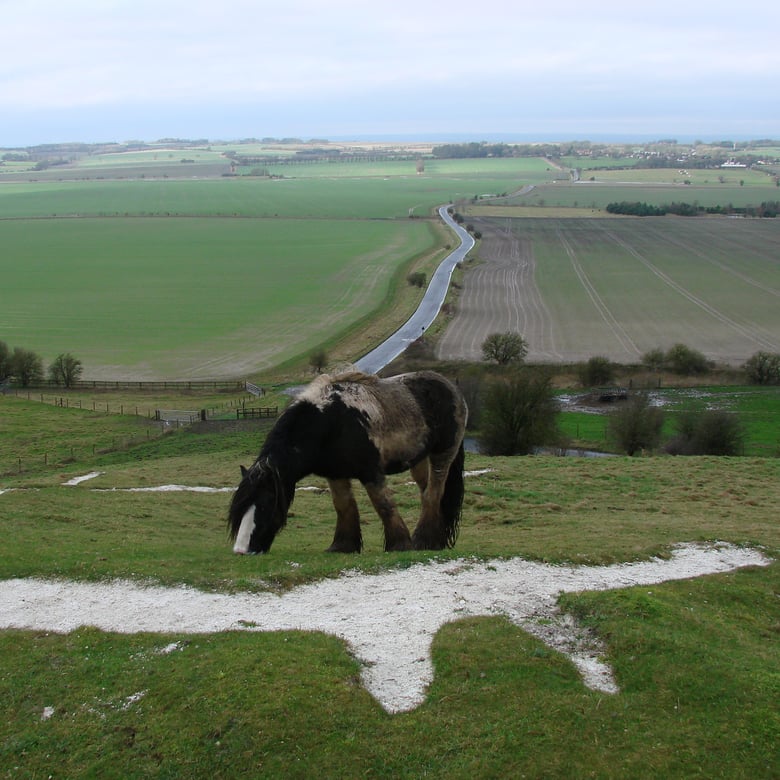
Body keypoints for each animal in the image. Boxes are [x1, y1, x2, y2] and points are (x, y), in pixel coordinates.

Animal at [227, 370, 470, 556]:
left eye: (266, 504)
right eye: (239, 509)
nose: (241, 550)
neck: (330, 424)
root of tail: (453, 389)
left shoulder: (371, 473)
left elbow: (384, 505)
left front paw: (399, 545)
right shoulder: (336, 474)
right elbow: (344, 507)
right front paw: (342, 546)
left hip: (442, 455)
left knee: (433, 494)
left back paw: (424, 541)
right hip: (418, 461)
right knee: (427, 492)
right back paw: (436, 540)